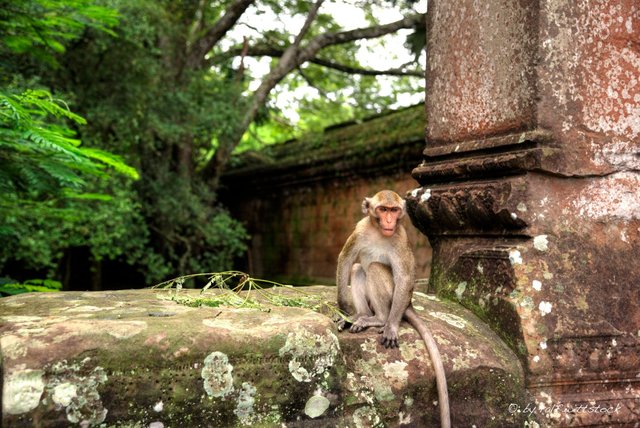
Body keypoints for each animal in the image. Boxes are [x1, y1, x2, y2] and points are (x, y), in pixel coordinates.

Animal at [336, 191, 450, 428]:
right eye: (382, 210)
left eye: (394, 211)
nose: (389, 221)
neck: (379, 232)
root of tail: (409, 303)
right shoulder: (360, 229)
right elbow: (346, 259)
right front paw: (345, 312)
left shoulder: (400, 239)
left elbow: (405, 277)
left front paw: (391, 327)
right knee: (358, 268)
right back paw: (360, 316)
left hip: (395, 299)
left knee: (375, 268)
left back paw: (379, 320)